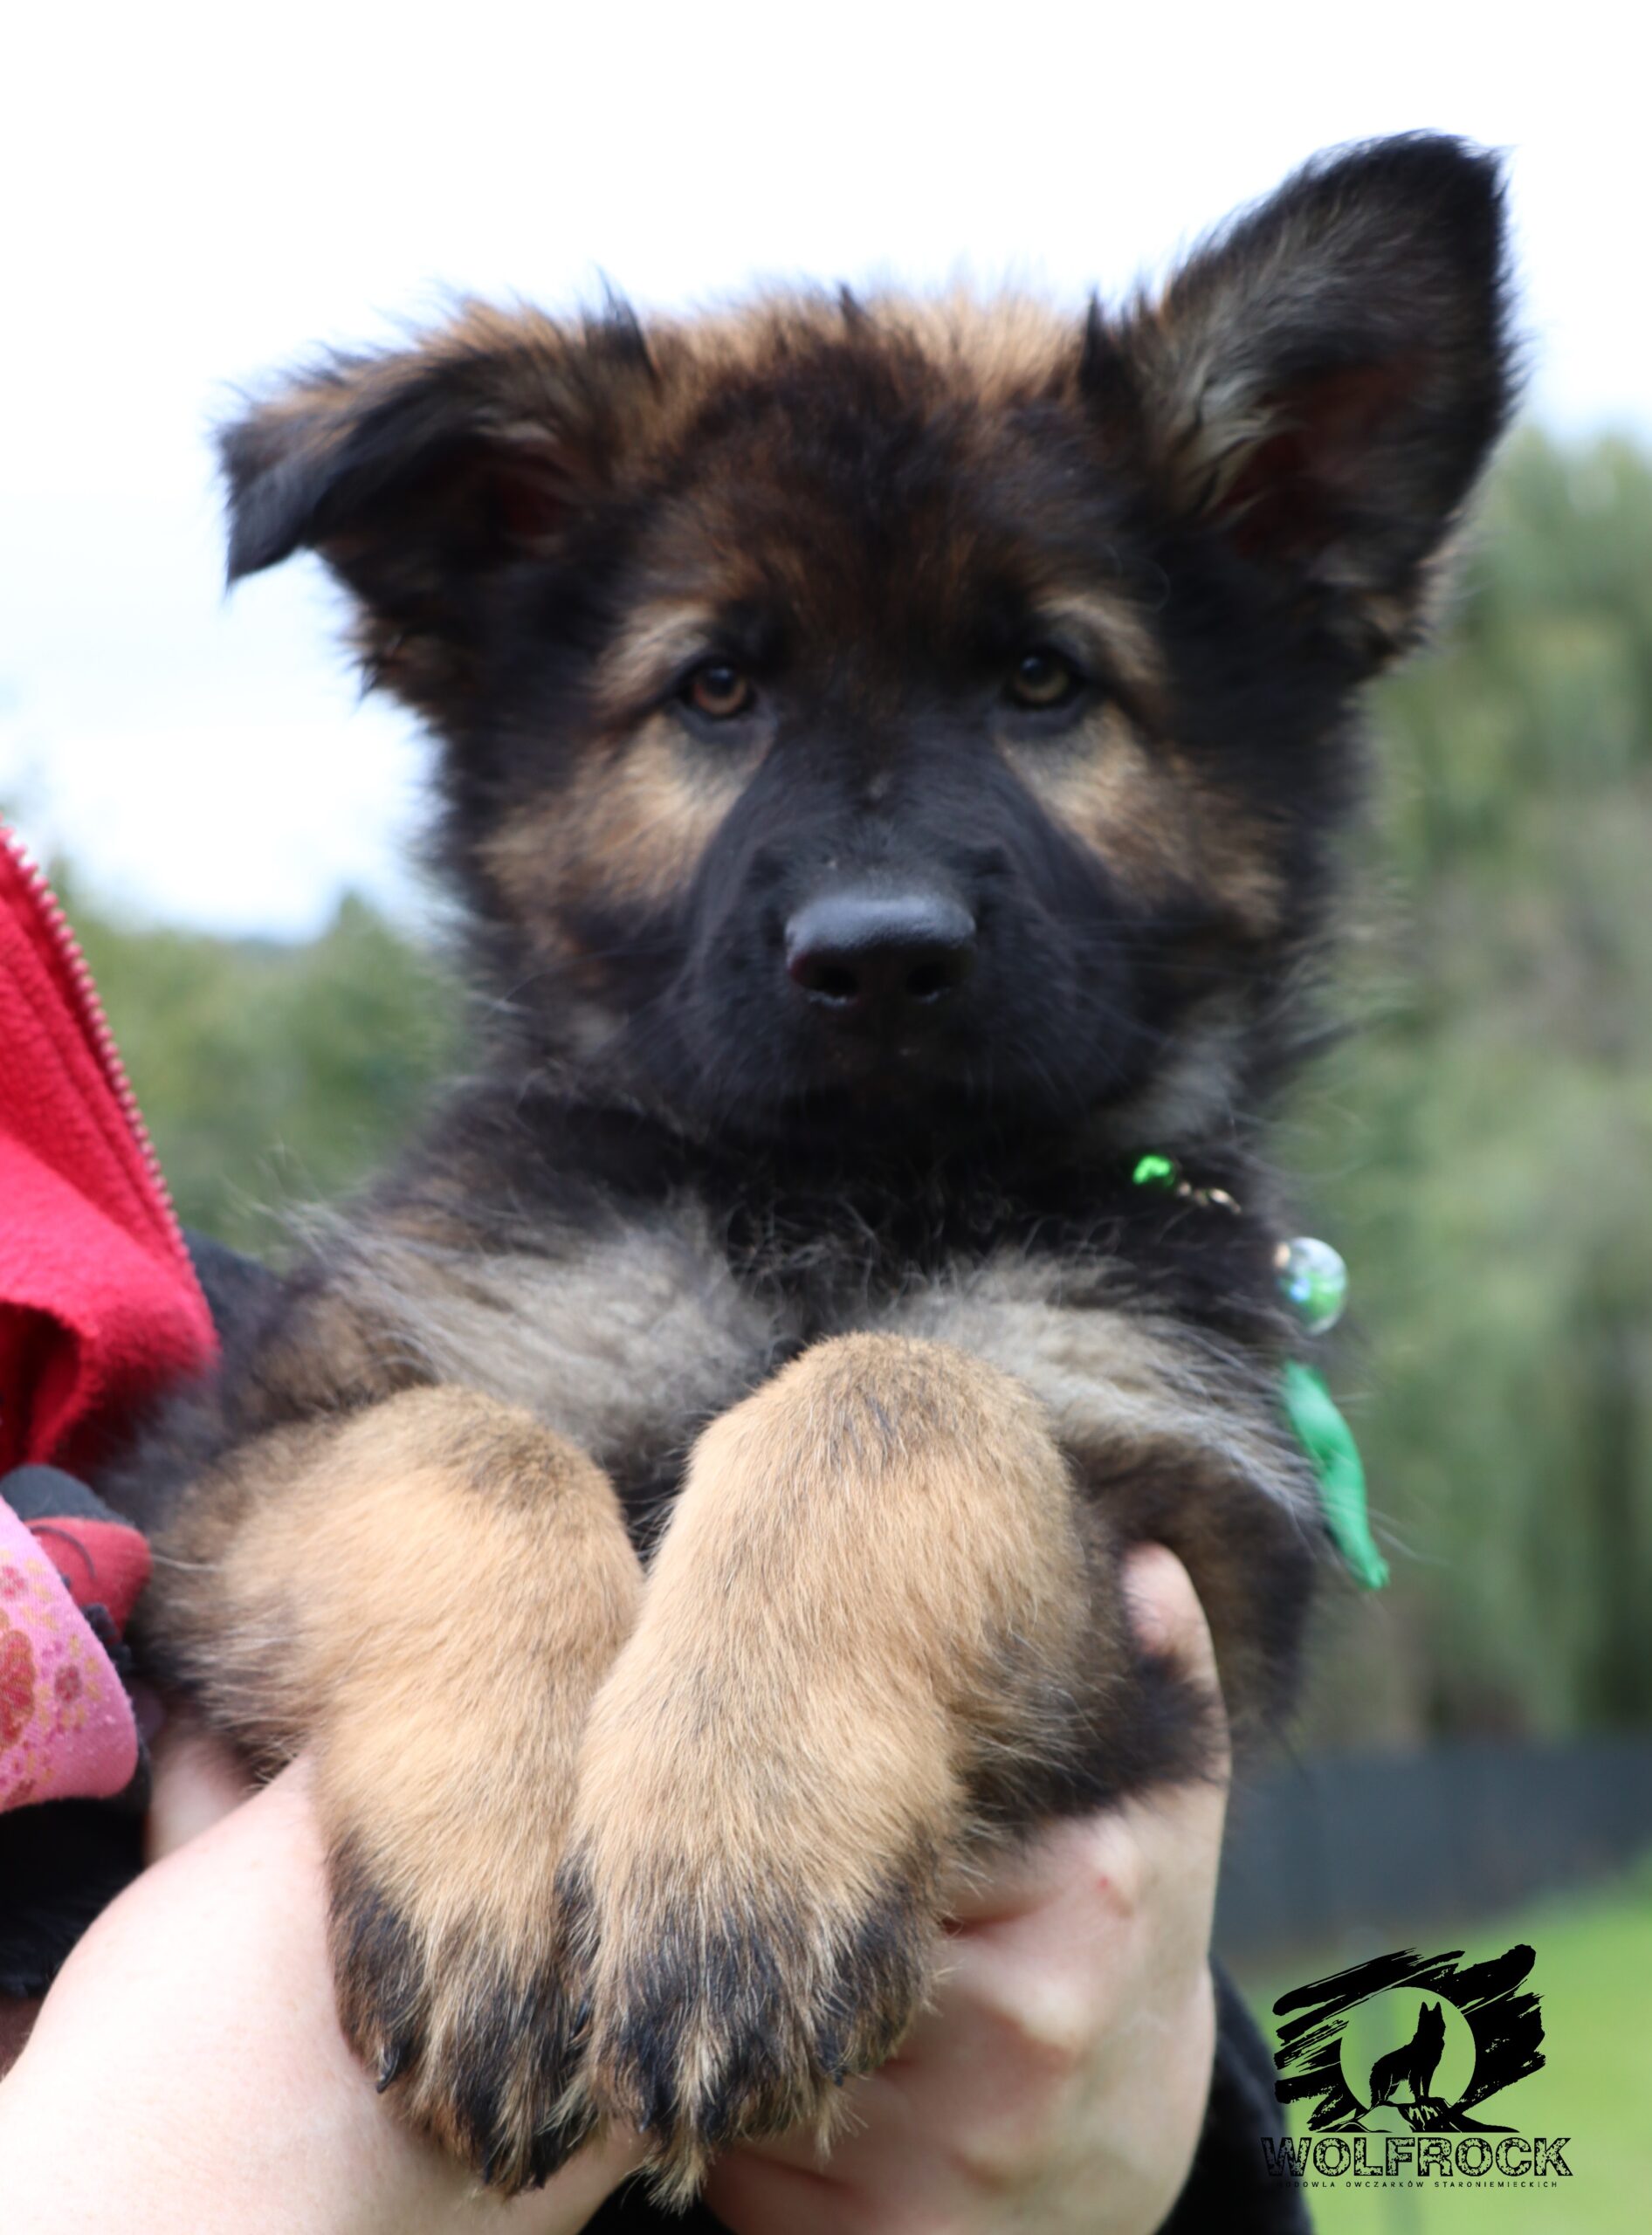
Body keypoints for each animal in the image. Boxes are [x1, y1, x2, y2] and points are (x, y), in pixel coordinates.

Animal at [113, 133, 1514, 2210]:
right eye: (715, 690)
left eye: (1042, 679)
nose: (877, 954)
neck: (834, 1203)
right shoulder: (238, 1471)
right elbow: (462, 1446)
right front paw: (498, 1867)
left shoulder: (1179, 1541)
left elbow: (893, 1396)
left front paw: (731, 1855)